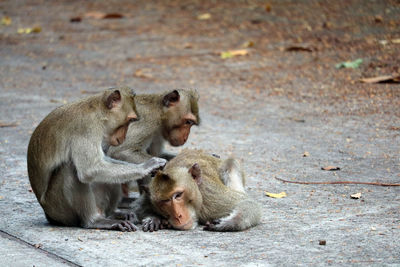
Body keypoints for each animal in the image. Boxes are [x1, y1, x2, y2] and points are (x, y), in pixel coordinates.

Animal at [26, 87, 166, 231]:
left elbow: (104, 161)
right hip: (59, 209)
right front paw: (147, 166)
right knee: (69, 168)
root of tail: (49, 215)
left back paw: (113, 214)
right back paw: (94, 221)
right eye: (130, 120)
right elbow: (90, 169)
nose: (123, 137)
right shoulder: (85, 128)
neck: (98, 112)